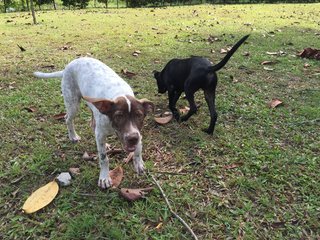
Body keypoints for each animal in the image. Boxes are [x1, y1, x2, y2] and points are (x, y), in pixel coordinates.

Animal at [34, 57, 154, 188]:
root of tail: (70, 64)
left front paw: (138, 163)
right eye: (119, 116)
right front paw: (104, 177)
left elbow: (138, 147)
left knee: (92, 125)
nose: (132, 138)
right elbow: (103, 158)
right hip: (73, 103)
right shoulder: (102, 133)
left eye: (139, 115)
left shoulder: (137, 132)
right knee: (68, 118)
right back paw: (73, 136)